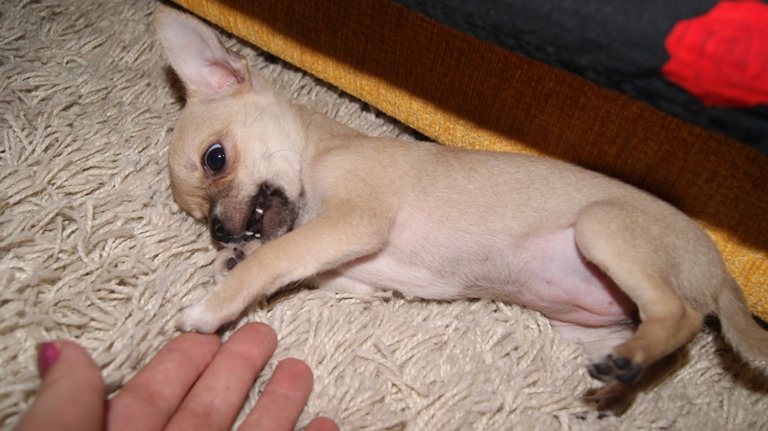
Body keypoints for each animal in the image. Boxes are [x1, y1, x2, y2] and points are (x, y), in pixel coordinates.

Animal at [153, 5, 767, 393]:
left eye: (215, 158)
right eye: (200, 218)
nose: (219, 232)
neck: (318, 150)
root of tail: (720, 273)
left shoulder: (354, 222)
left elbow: (278, 257)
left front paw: (215, 302)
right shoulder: (349, 269)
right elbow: (293, 260)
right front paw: (235, 259)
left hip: (601, 229)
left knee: (681, 316)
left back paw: (633, 360)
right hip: (586, 323)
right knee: (669, 330)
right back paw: (623, 375)